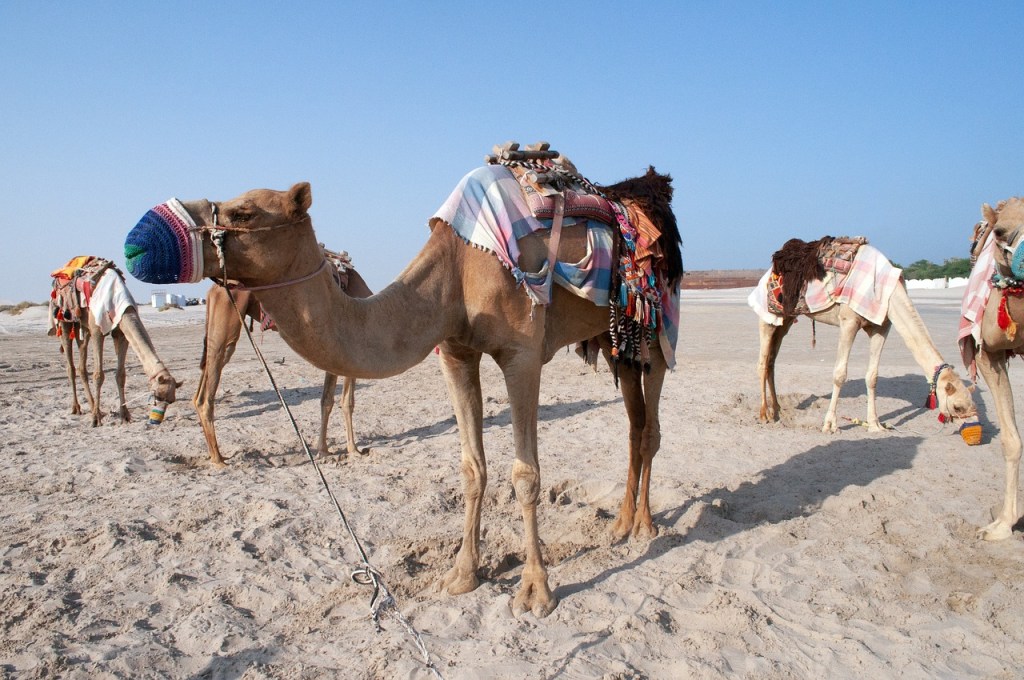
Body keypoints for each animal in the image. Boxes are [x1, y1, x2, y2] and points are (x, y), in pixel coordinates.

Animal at [49, 258, 181, 426]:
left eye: (171, 400)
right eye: (157, 396)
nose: (156, 420)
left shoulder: (121, 333)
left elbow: (121, 375)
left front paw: (125, 415)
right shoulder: (97, 330)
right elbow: (98, 375)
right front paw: (95, 419)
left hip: (83, 328)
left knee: (81, 365)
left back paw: (93, 406)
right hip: (64, 320)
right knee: (70, 366)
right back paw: (78, 408)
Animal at [195, 259, 373, 467]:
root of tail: (213, 290)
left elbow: (337, 401)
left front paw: (332, 450)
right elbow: (339, 401)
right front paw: (344, 450)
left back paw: (215, 454)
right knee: (208, 391)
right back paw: (218, 459)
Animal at [753, 239, 977, 433]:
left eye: (972, 404)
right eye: (958, 407)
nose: (972, 427)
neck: (889, 291)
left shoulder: (881, 327)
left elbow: (872, 376)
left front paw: (875, 425)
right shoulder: (849, 321)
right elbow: (840, 374)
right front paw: (830, 425)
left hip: (786, 320)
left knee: (772, 361)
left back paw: (777, 410)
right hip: (768, 317)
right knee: (763, 362)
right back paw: (764, 414)